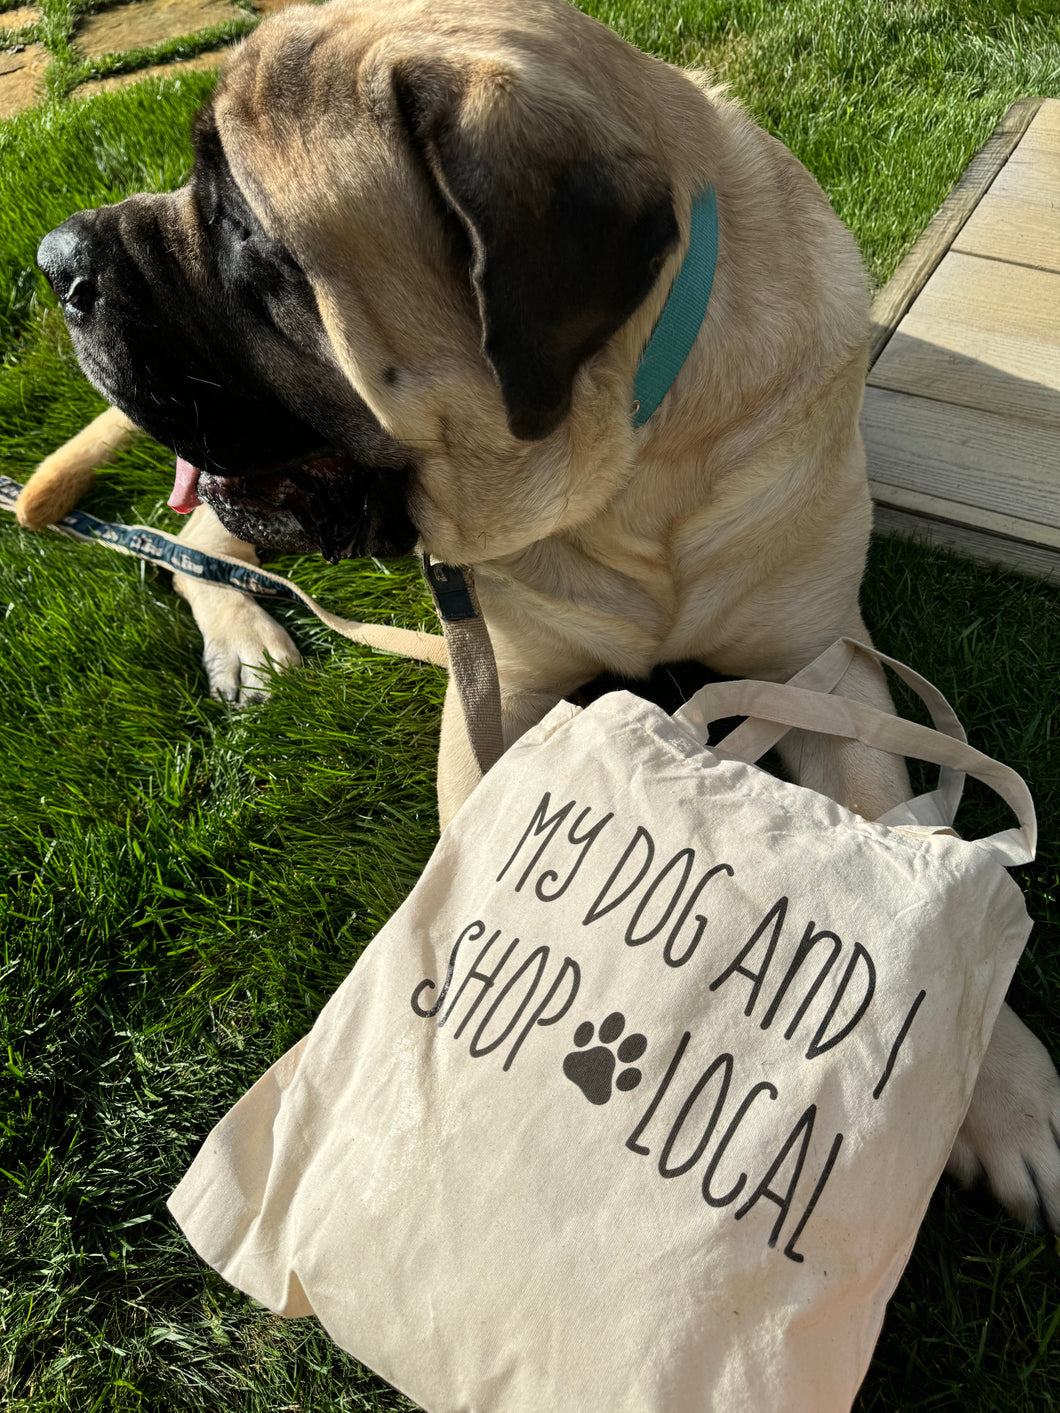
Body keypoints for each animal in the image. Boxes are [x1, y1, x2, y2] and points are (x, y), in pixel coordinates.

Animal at [22, 0, 1060, 1232]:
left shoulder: (821, 665)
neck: (624, 472)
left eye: (237, 223)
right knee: (191, 534)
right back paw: (246, 640)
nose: (54, 261)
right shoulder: (499, 692)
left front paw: (997, 1083)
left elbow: (905, 830)